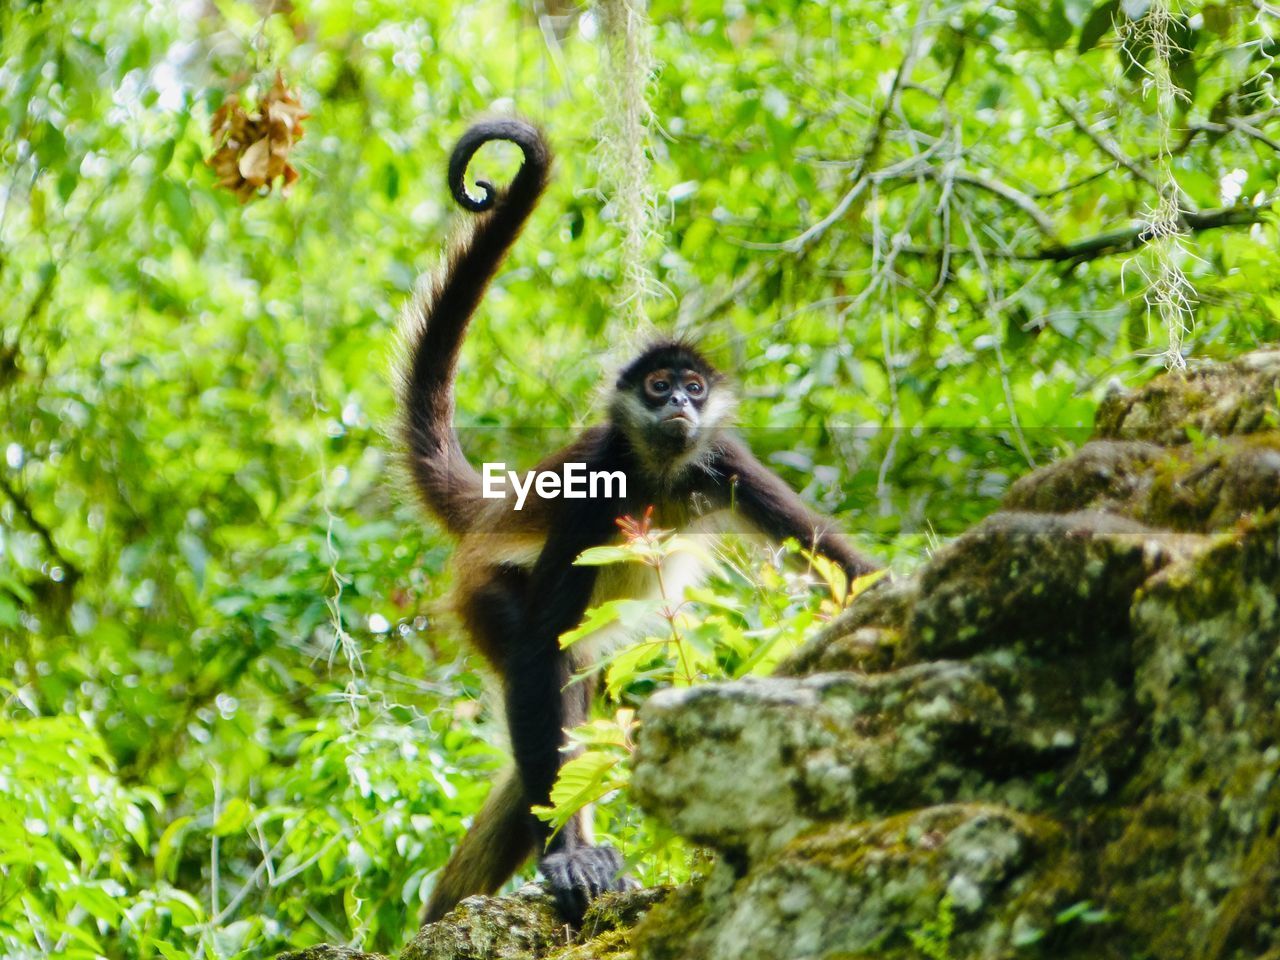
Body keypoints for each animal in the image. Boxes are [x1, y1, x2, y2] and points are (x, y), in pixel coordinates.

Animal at [400, 117, 880, 925]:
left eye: (693, 388)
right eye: (657, 388)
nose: (680, 403)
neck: (656, 471)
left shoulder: (722, 459)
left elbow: (845, 564)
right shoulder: (596, 478)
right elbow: (540, 654)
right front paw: (565, 858)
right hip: (484, 592)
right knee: (548, 670)